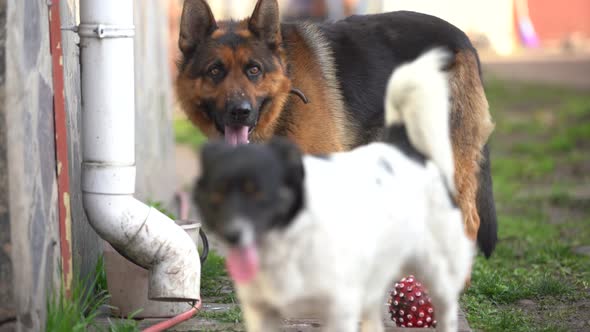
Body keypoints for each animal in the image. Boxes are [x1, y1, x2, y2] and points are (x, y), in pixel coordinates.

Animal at [176, 0, 500, 256]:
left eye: (254, 70)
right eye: (215, 71)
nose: (239, 112)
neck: (285, 97)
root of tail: (463, 39)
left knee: (468, 221)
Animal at [194, 49, 476, 332]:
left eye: (260, 193)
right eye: (216, 196)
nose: (232, 235)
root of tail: (402, 149)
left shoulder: (339, 309)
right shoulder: (261, 312)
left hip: (436, 271)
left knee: (446, 309)